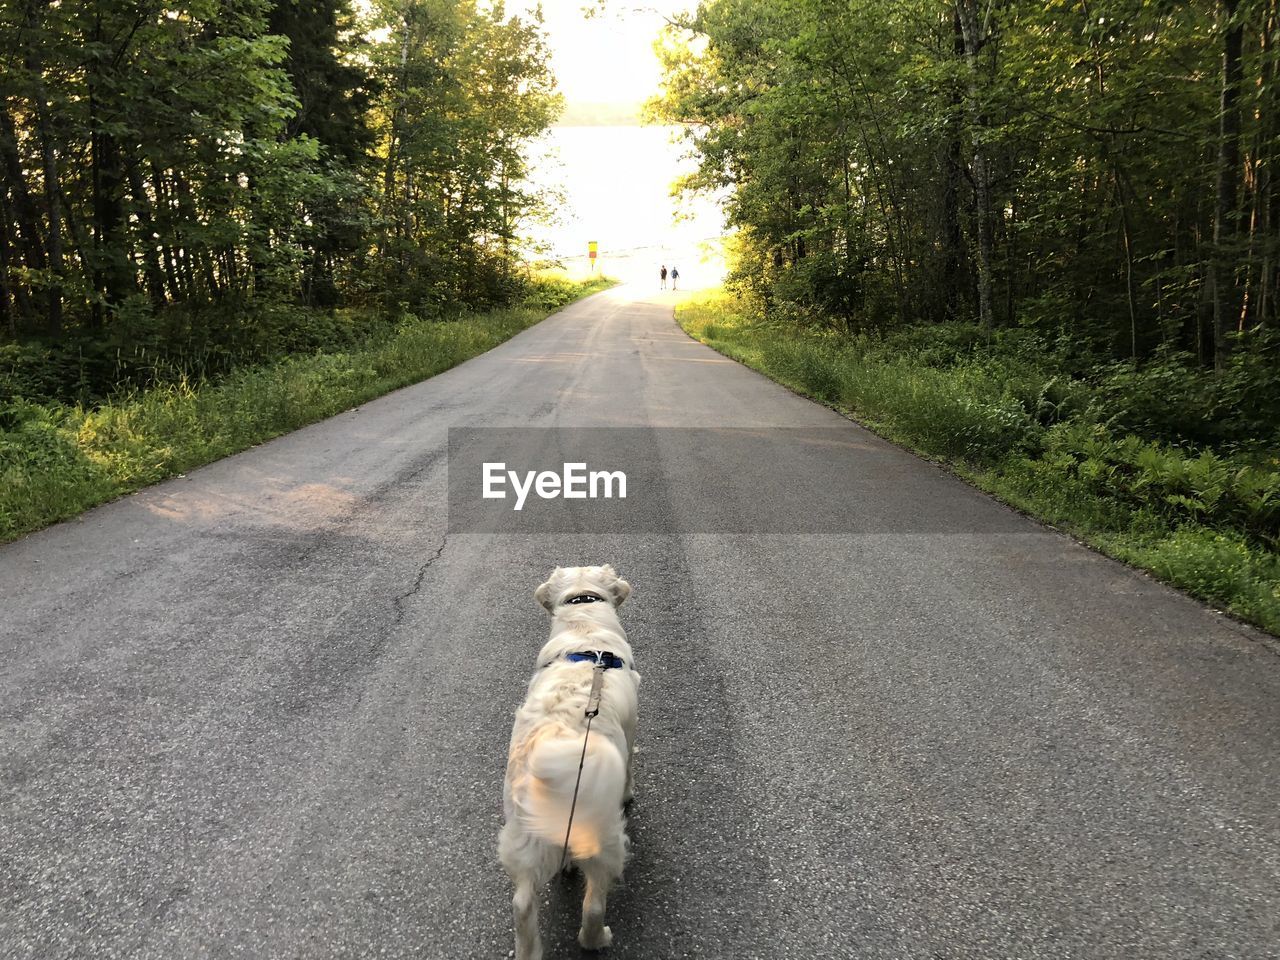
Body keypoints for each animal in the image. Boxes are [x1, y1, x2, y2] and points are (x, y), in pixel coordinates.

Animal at [499, 568, 640, 957]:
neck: (583, 621)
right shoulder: (632, 728)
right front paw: (630, 794)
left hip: (523, 837)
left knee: (522, 903)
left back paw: (529, 950)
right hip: (605, 839)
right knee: (592, 905)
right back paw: (598, 937)